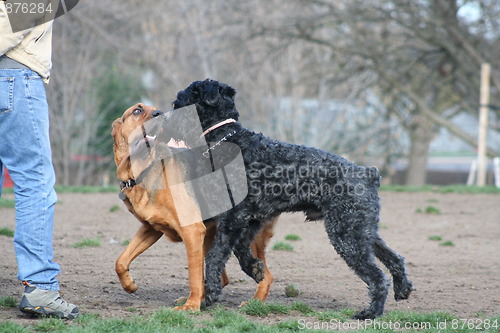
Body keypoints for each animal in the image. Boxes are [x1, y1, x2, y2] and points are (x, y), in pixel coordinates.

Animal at [111, 102, 278, 310]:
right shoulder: (150, 229)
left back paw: (253, 304)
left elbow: (194, 275)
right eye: (137, 110)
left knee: (265, 277)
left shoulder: (192, 232)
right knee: (223, 278)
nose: (160, 114)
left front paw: (190, 307)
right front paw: (130, 285)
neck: (143, 169)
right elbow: (120, 261)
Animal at [172, 78, 414, 320]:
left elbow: (215, 257)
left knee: (377, 277)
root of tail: (368, 173)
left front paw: (209, 297)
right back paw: (403, 289)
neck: (228, 141)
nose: (168, 115)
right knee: (394, 258)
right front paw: (255, 269)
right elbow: (240, 250)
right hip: (362, 231)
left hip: (347, 235)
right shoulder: (250, 220)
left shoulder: (233, 218)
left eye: (182, 100)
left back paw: (371, 312)